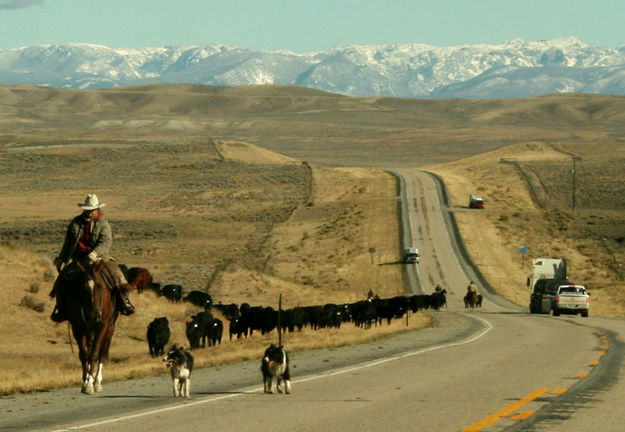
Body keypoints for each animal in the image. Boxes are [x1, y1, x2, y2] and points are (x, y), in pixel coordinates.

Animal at [61, 258, 119, 394]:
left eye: (100, 286)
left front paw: (91, 384)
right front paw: (86, 382)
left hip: (109, 327)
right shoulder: (77, 327)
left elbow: (95, 353)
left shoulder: (103, 325)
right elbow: (84, 355)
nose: (94, 315)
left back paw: (97, 381)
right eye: (83, 288)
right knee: (90, 348)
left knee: (102, 352)